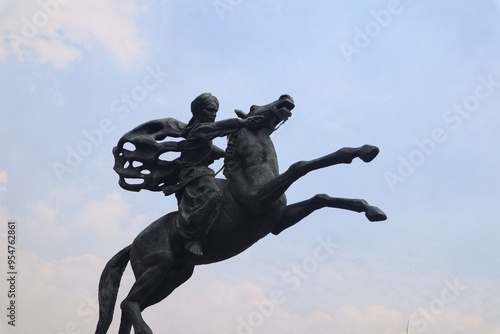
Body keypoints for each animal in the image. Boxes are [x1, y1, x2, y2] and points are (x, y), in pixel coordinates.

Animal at [96, 94, 386, 334]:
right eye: (255, 107)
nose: (286, 98)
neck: (252, 172)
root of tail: (132, 243)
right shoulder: (258, 201)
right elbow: (300, 166)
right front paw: (363, 154)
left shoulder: (279, 222)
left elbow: (320, 198)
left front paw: (372, 207)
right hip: (157, 266)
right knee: (129, 303)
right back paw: (146, 330)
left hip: (175, 276)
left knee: (130, 306)